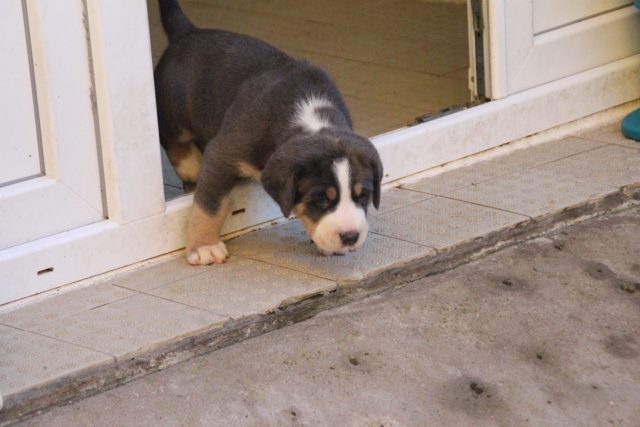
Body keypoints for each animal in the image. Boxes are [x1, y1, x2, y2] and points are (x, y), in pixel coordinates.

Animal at [155, 0, 384, 266]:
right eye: (321, 200)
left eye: (364, 195)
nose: (350, 236)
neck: (309, 114)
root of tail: (187, 32)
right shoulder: (222, 154)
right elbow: (210, 204)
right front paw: (205, 247)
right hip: (173, 118)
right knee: (183, 155)